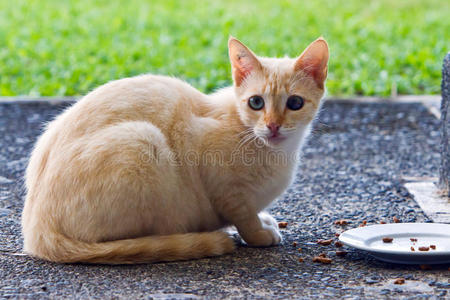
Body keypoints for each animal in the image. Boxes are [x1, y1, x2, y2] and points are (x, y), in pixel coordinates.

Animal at [21, 36, 328, 264]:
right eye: (256, 102)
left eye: (295, 103)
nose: (273, 126)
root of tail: (35, 230)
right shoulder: (219, 180)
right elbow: (242, 215)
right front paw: (257, 233)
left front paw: (261, 221)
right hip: (142, 139)